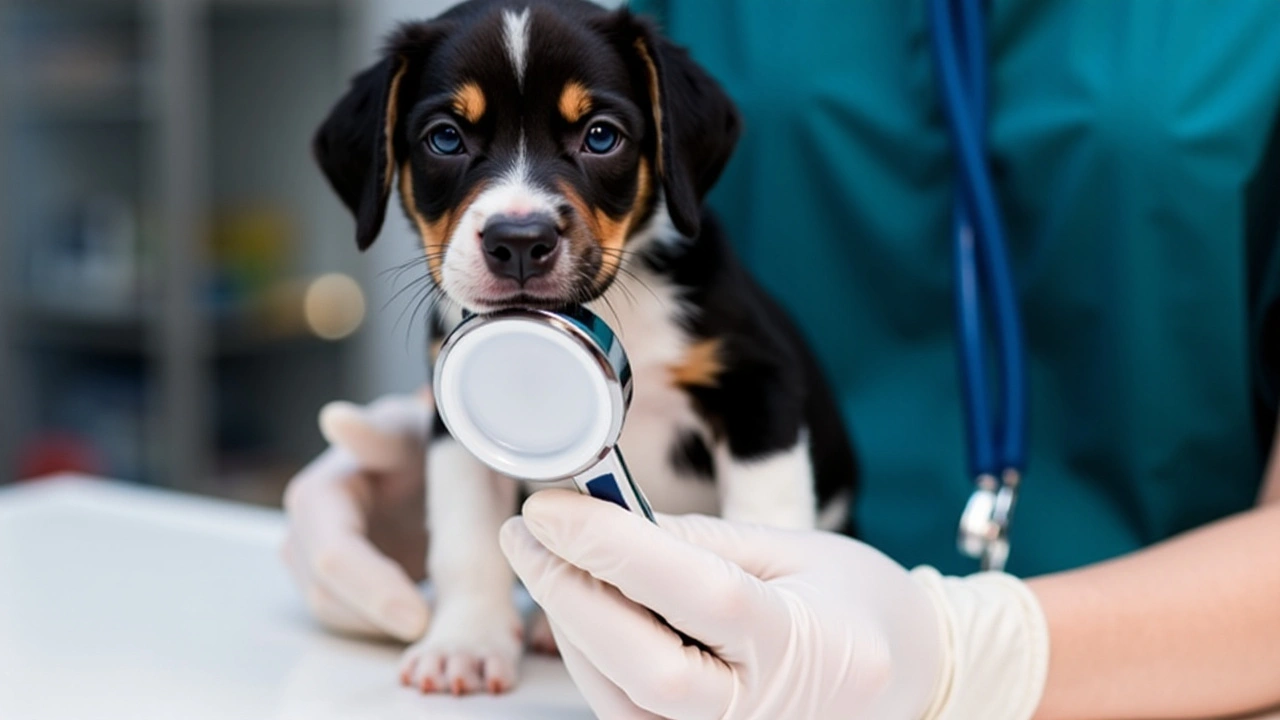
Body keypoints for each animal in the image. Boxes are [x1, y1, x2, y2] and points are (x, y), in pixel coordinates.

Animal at [309, 0, 855, 696]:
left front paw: (782, 629)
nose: (518, 240)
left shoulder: (758, 386)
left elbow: (766, 515)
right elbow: (466, 541)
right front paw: (465, 641)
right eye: (445, 138)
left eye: (600, 136)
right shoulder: (448, 423)